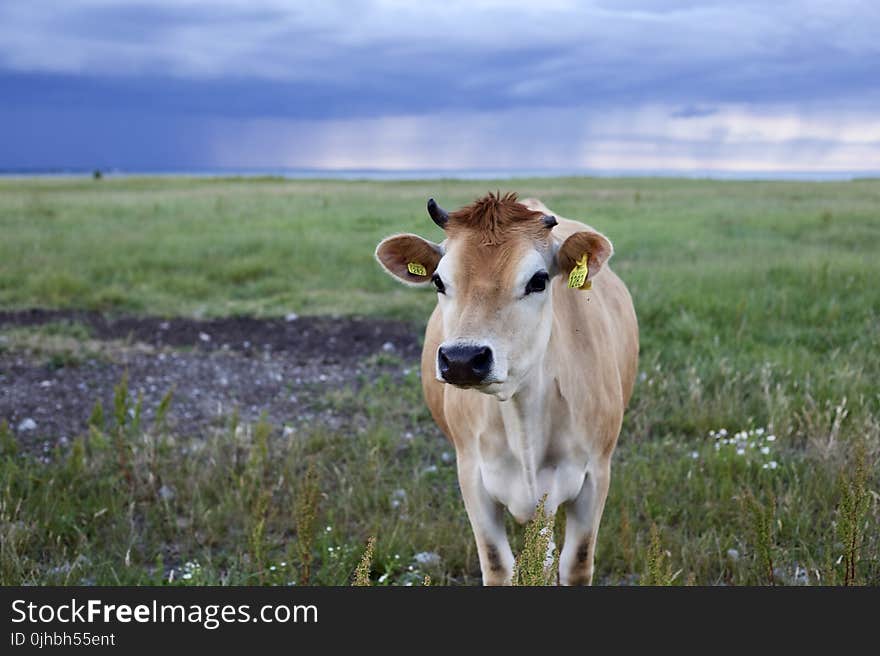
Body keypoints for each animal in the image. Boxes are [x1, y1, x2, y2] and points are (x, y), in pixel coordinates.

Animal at [372, 191, 640, 584]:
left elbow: (576, 563)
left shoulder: (596, 474)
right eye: (438, 281)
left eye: (538, 280)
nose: (463, 358)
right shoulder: (471, 475)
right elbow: (499, 564)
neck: (522, 413)